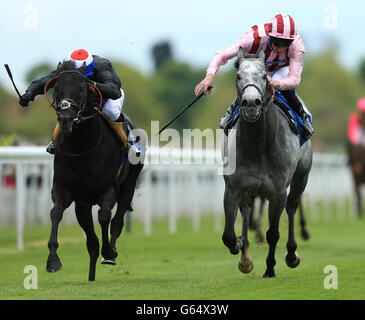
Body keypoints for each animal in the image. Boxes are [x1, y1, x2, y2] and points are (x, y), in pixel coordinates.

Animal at [44, 60, 144, 280]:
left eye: (81, 89)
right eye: (56, 88)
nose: (66, 119)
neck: (81, 148)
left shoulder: (108, 189)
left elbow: (105, 216)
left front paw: (109, 252)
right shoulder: (63, 188)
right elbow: (55, 213)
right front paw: (53, 260)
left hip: (129, 184)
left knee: (117, 220)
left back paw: (110, 251)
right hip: (83, 203)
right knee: (91, 242)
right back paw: (91, 276)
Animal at [220, 47, 312, 278]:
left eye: (264, 76)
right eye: (238, 76)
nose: (251, 103)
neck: (258, 144)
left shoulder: (277, 192)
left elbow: (273, 233)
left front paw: (270, 268)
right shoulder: (233, 187)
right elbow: (228, 235)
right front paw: (240, 246)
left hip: (301, 176)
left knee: (292, 206)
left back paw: (291, 254)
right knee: (246, 210)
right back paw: (245, 257)